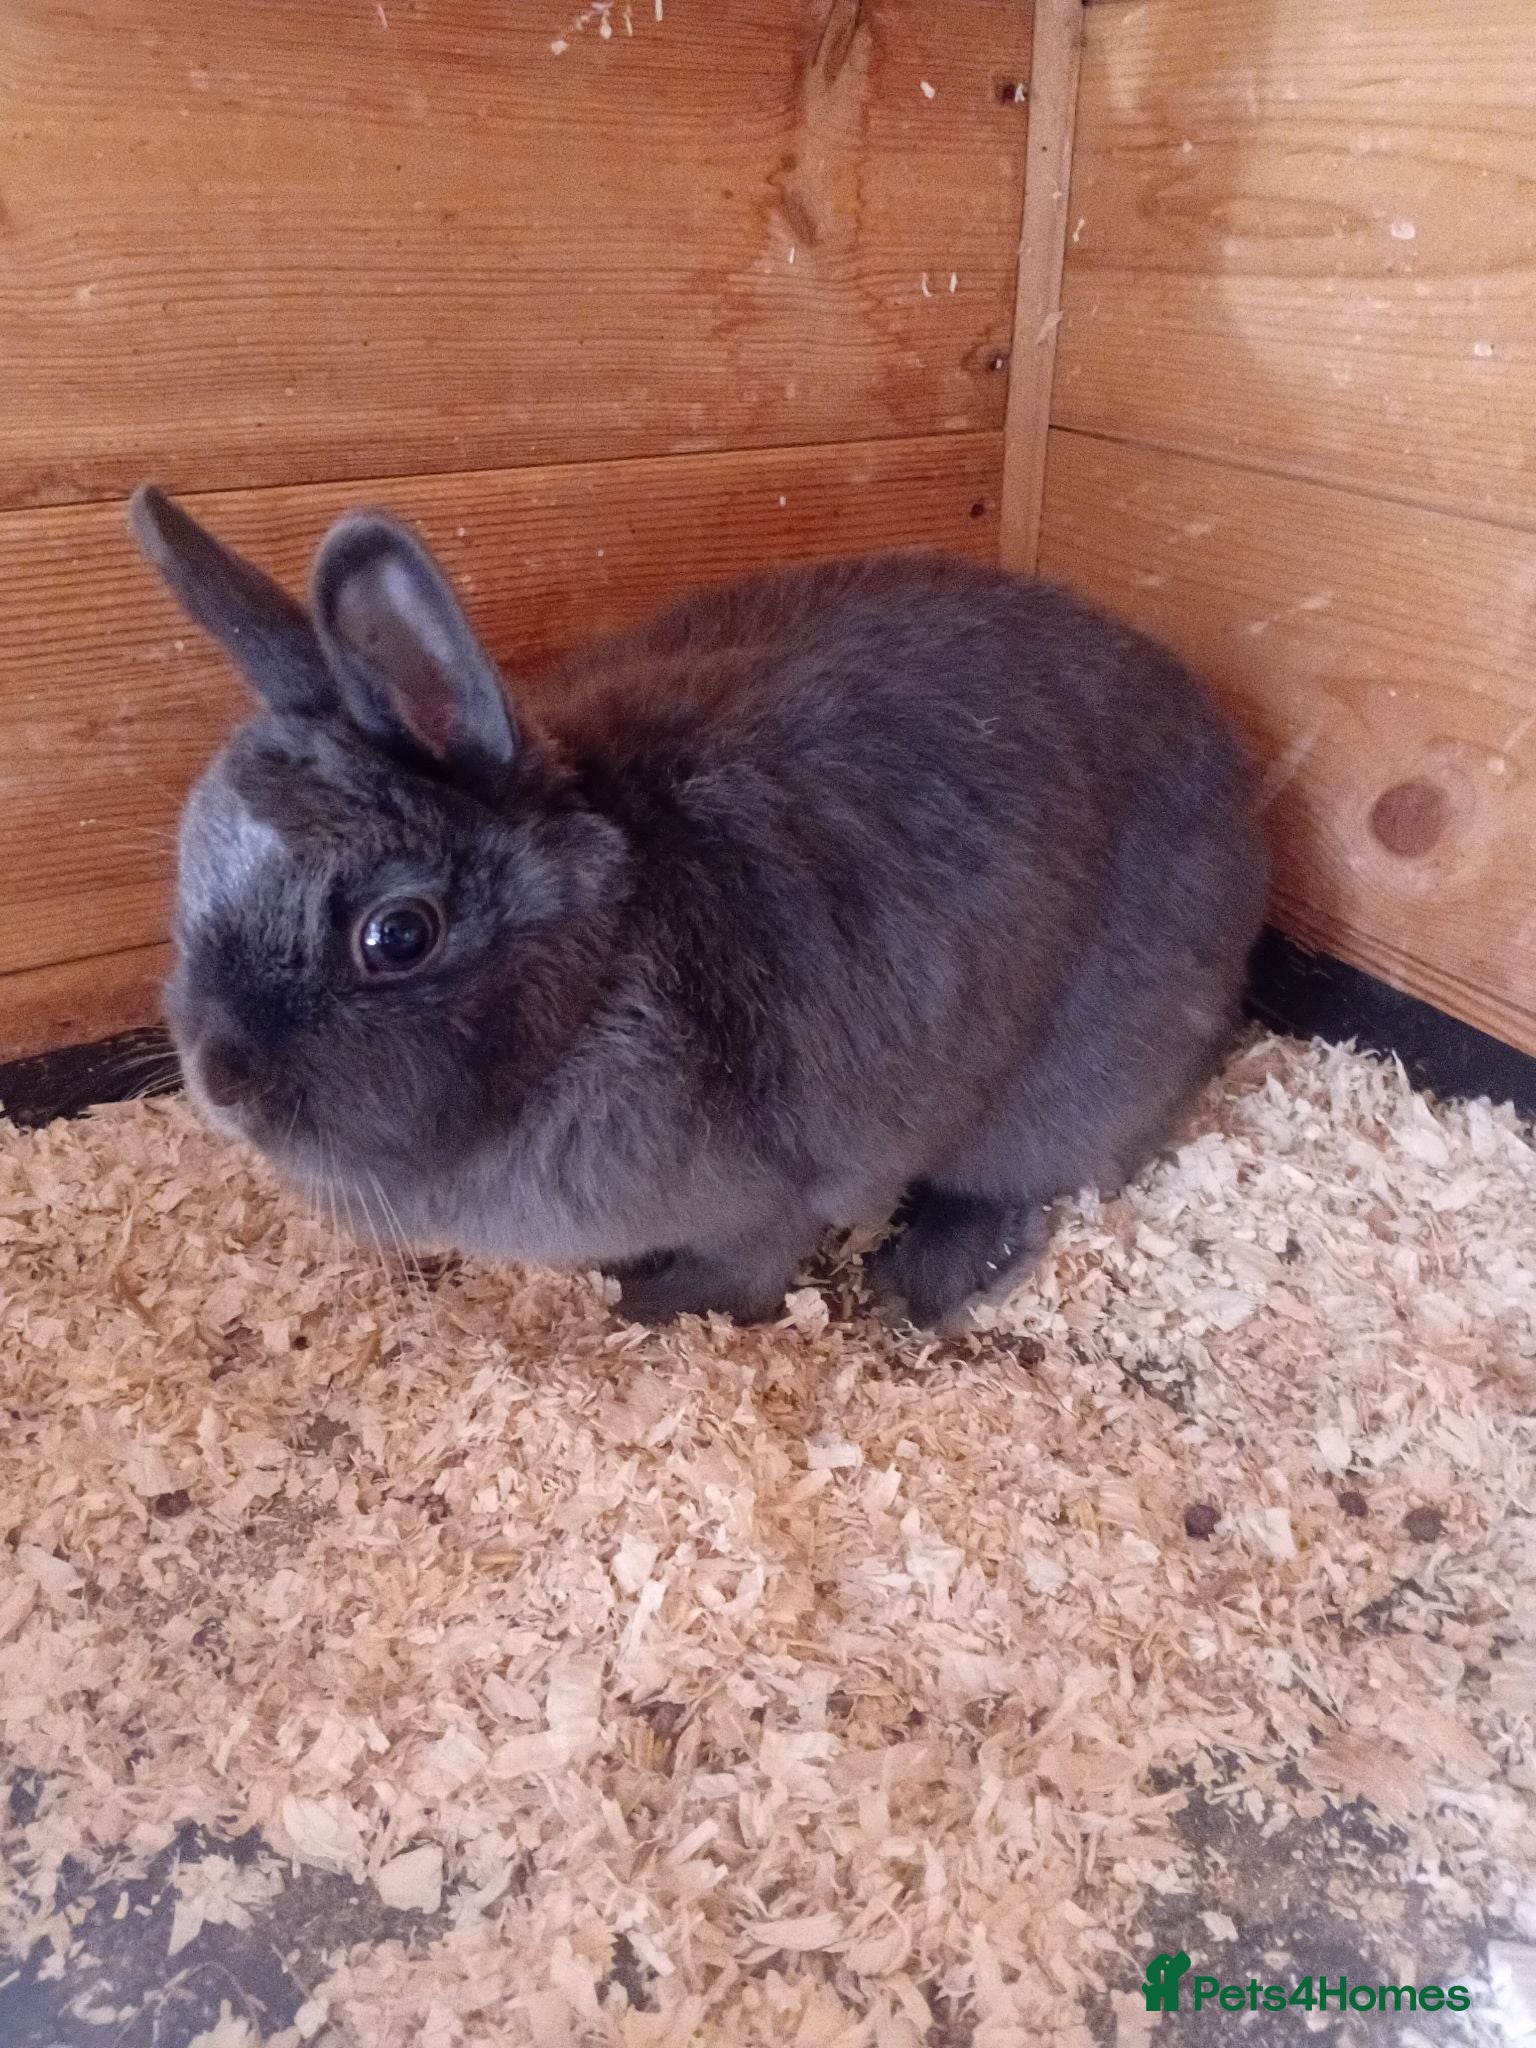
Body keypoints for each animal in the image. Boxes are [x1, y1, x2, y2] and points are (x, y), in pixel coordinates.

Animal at [128, 485, 1268, 1332]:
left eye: (397, 935)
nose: (217, 1079)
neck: (596, 980)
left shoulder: (774, 1194)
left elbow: (747, 1268)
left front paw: (649, 1307)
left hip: (1067, 1085)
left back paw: (930, 1282)